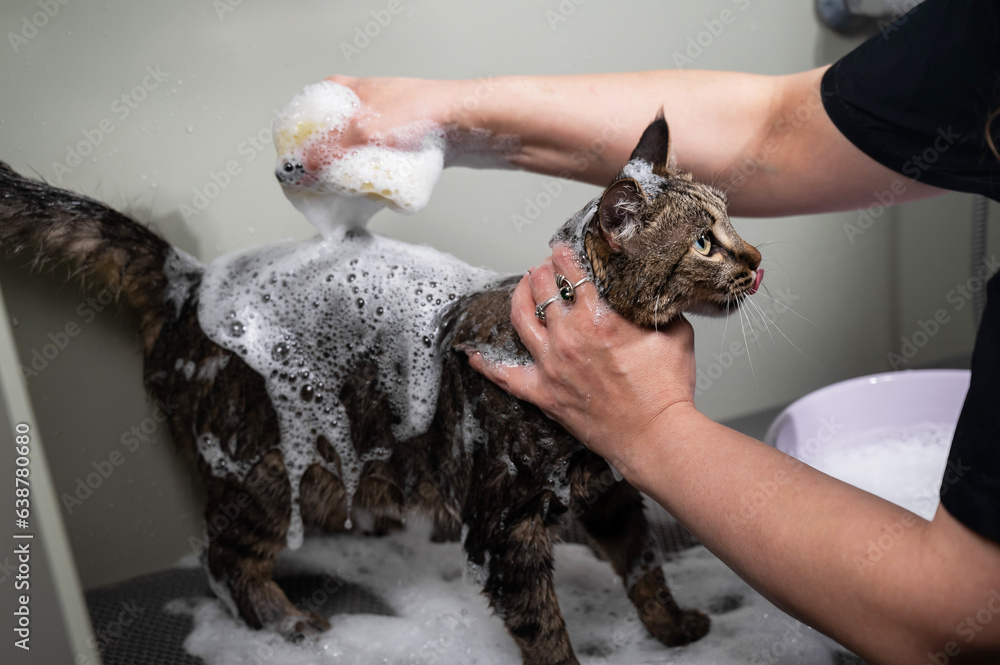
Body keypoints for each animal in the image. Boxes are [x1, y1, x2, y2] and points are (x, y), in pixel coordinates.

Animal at [0, 115, 760, 664]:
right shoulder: (506, 535)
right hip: (265, 477)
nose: (756, 258)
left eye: (732, 220)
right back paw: (292, 626)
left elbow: (645, 568)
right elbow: (545, 634)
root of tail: (190, 279)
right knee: (225, 562)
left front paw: (674, 628)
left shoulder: (610, 493)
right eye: (704, 242)